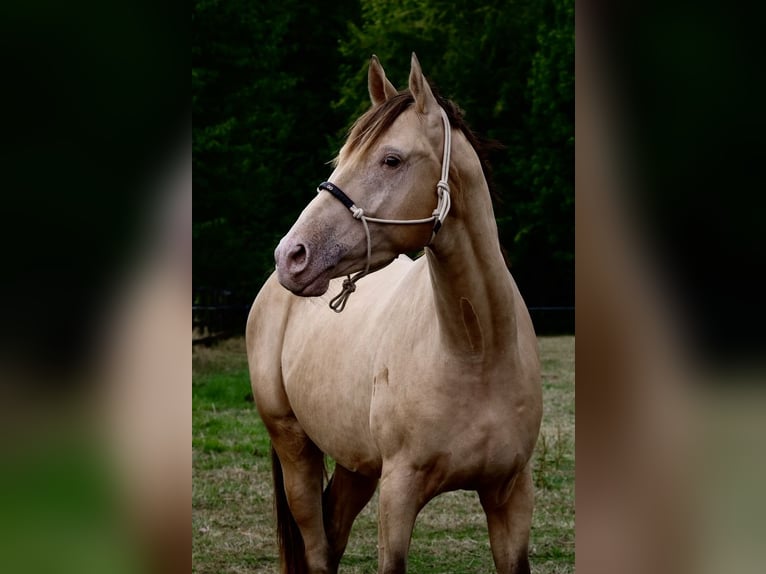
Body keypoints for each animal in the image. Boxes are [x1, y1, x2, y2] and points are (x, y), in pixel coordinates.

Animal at [246, 53, 542, 574]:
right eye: (340, 159)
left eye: (391, 159)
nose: (292, 256)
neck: (477, 351)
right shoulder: (399, 493)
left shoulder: (512, 496)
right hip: (293, 446)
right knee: (317, 549)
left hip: (356, 465)